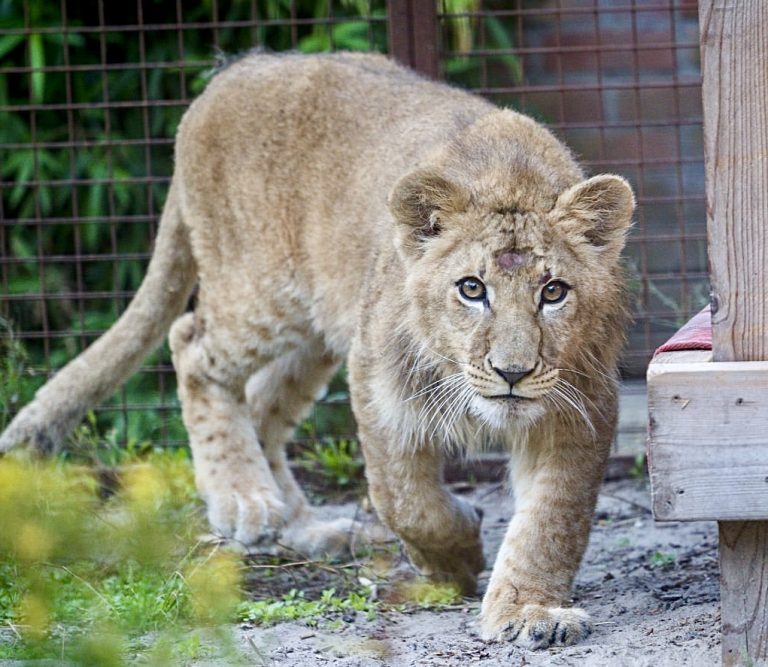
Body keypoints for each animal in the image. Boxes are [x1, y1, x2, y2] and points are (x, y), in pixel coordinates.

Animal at [0, 52, 633, 648]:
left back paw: (304, 527)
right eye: (471, 289)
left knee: (260, 408)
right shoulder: (379, 383)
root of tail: (231, 74)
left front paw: (530, 610)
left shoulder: (578, 404)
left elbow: (551, 521)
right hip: (261, 295)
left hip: (314, 333)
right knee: (191, 347)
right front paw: (455, 560)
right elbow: (407, 502)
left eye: (554, 292)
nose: (512, 372)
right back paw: (243, 500)